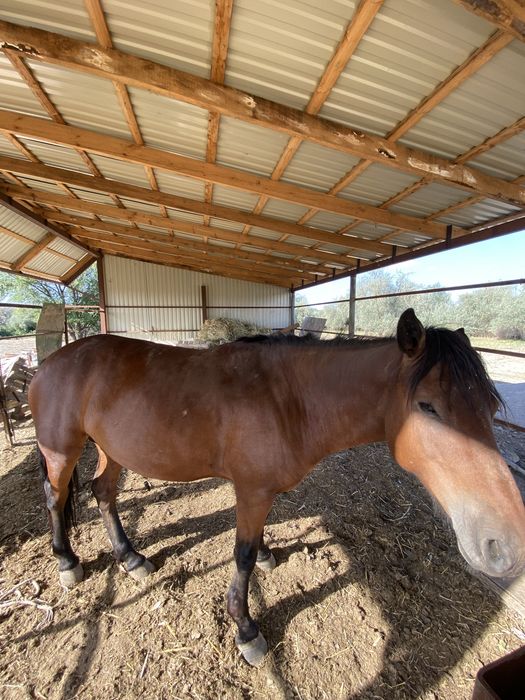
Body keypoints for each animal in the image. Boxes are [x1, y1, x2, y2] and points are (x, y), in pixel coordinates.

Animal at [28, 308, 525, 666]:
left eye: (489, 405)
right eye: (428, 407)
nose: (505, 544)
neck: (287, 398)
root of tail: (49, 364)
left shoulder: (261, 493)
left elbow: (258, 543)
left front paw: (268, 556)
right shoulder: (250, 492)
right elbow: (243, 555)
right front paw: (246, 628)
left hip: (112, 450)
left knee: (103, 494)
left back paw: (130, 556)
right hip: (62, 450)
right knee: (56, 497)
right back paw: (67, 561)